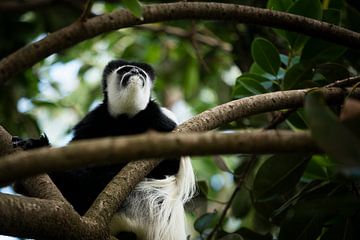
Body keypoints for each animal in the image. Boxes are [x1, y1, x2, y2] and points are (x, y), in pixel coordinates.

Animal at [12, 60, 195, 240]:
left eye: (141, 72)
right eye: (125, 70)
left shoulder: (160, 119)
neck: (126, 118)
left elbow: (170, 164)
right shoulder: (94, 119)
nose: (135, 71)